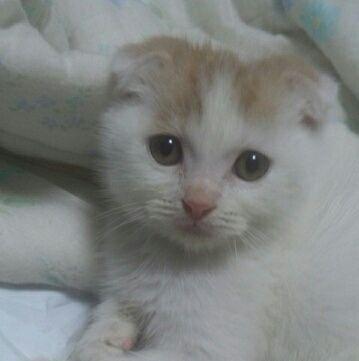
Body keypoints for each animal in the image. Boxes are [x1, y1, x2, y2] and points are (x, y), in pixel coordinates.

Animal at [70, 36, 359, 360]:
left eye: (252, 166)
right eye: (165, 149)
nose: (198, 203)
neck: (175, 259)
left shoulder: (212, 347)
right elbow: (112, 309)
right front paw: (102, 338)